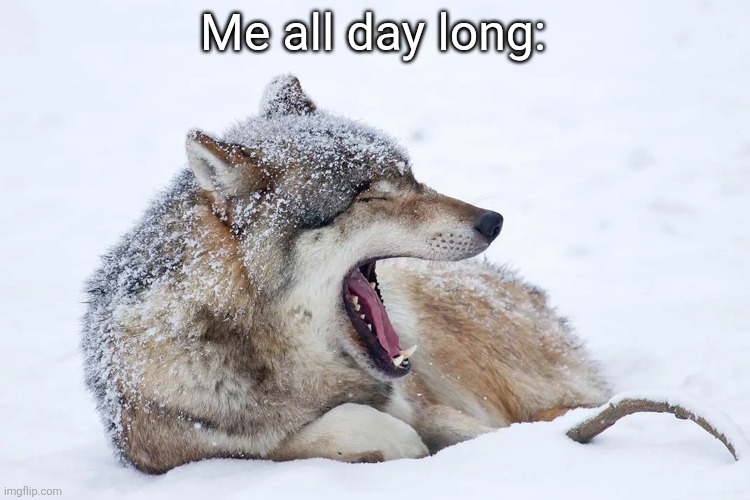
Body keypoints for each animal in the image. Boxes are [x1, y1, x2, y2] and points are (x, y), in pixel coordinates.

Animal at [81, 74, 610, 474]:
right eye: (368, 194)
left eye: (411, 177)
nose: (492, 221)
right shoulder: (175, 449)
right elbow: (300, 438)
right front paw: (397, 442)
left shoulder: (424, 401)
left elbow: (483, 433)